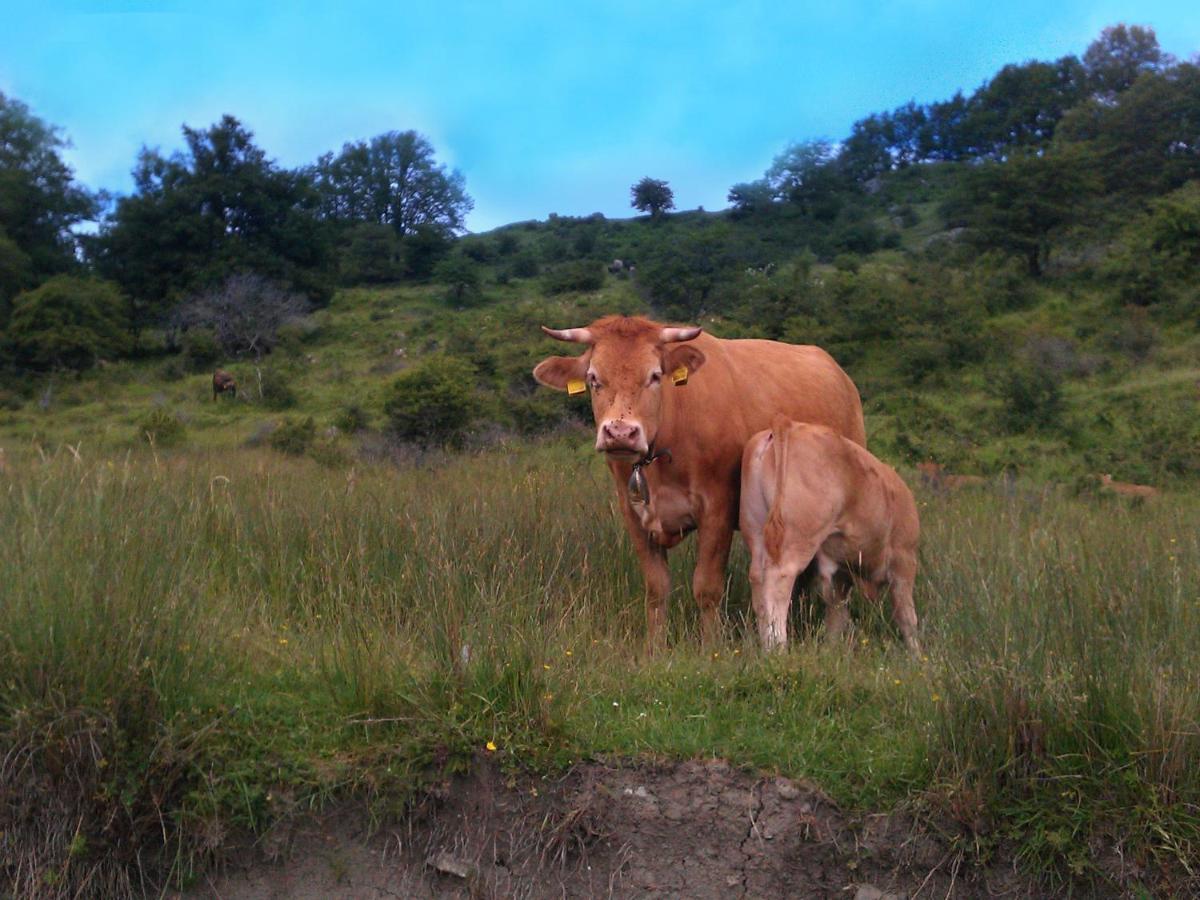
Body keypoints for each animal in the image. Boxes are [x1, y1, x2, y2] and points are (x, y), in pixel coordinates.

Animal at [535, 314, 864, 648]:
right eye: (593, 378)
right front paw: (654, 649)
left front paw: (711, 647)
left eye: (655, 376)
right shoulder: (634, 514)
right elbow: (656, 588)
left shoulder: (717, 510)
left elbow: (707, 587)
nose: (621, 433)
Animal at [739, 415, 916, 657]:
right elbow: (907, 617)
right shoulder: (904, 561)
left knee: (758, 581)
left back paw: (766, 646)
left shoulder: (840, 574)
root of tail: (789, 425)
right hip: (798, 539)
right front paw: (917, 656)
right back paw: (778, 647)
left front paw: (831, 650)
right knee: (778, 582)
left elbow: (836, 615)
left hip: (755, 529)